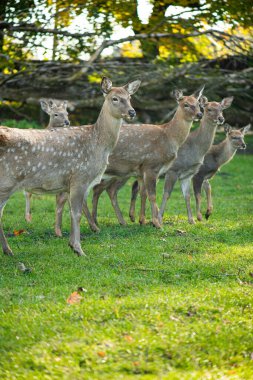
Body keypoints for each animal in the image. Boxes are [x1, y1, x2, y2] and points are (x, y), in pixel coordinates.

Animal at [0, 75, 140, 256]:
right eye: (114, 98)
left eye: (129, 97)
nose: (132, 112)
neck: (98, 145)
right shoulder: (80, 177)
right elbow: (76, 213)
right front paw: (79, 249)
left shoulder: (70, 185)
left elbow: (70, 211)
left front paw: (72, 245)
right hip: (7, 182)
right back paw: (8, 250)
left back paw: (7, 250)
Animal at [86, 87, 204, 229]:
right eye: (185, 104)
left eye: (198, 104)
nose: (199, 114)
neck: (169, 136)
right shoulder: (151, 165)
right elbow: (152, 195)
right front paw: (157, 223)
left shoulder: (143, 171)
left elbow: (144, 193)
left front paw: (143, 220)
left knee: (99, 190)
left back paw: (100, 221)